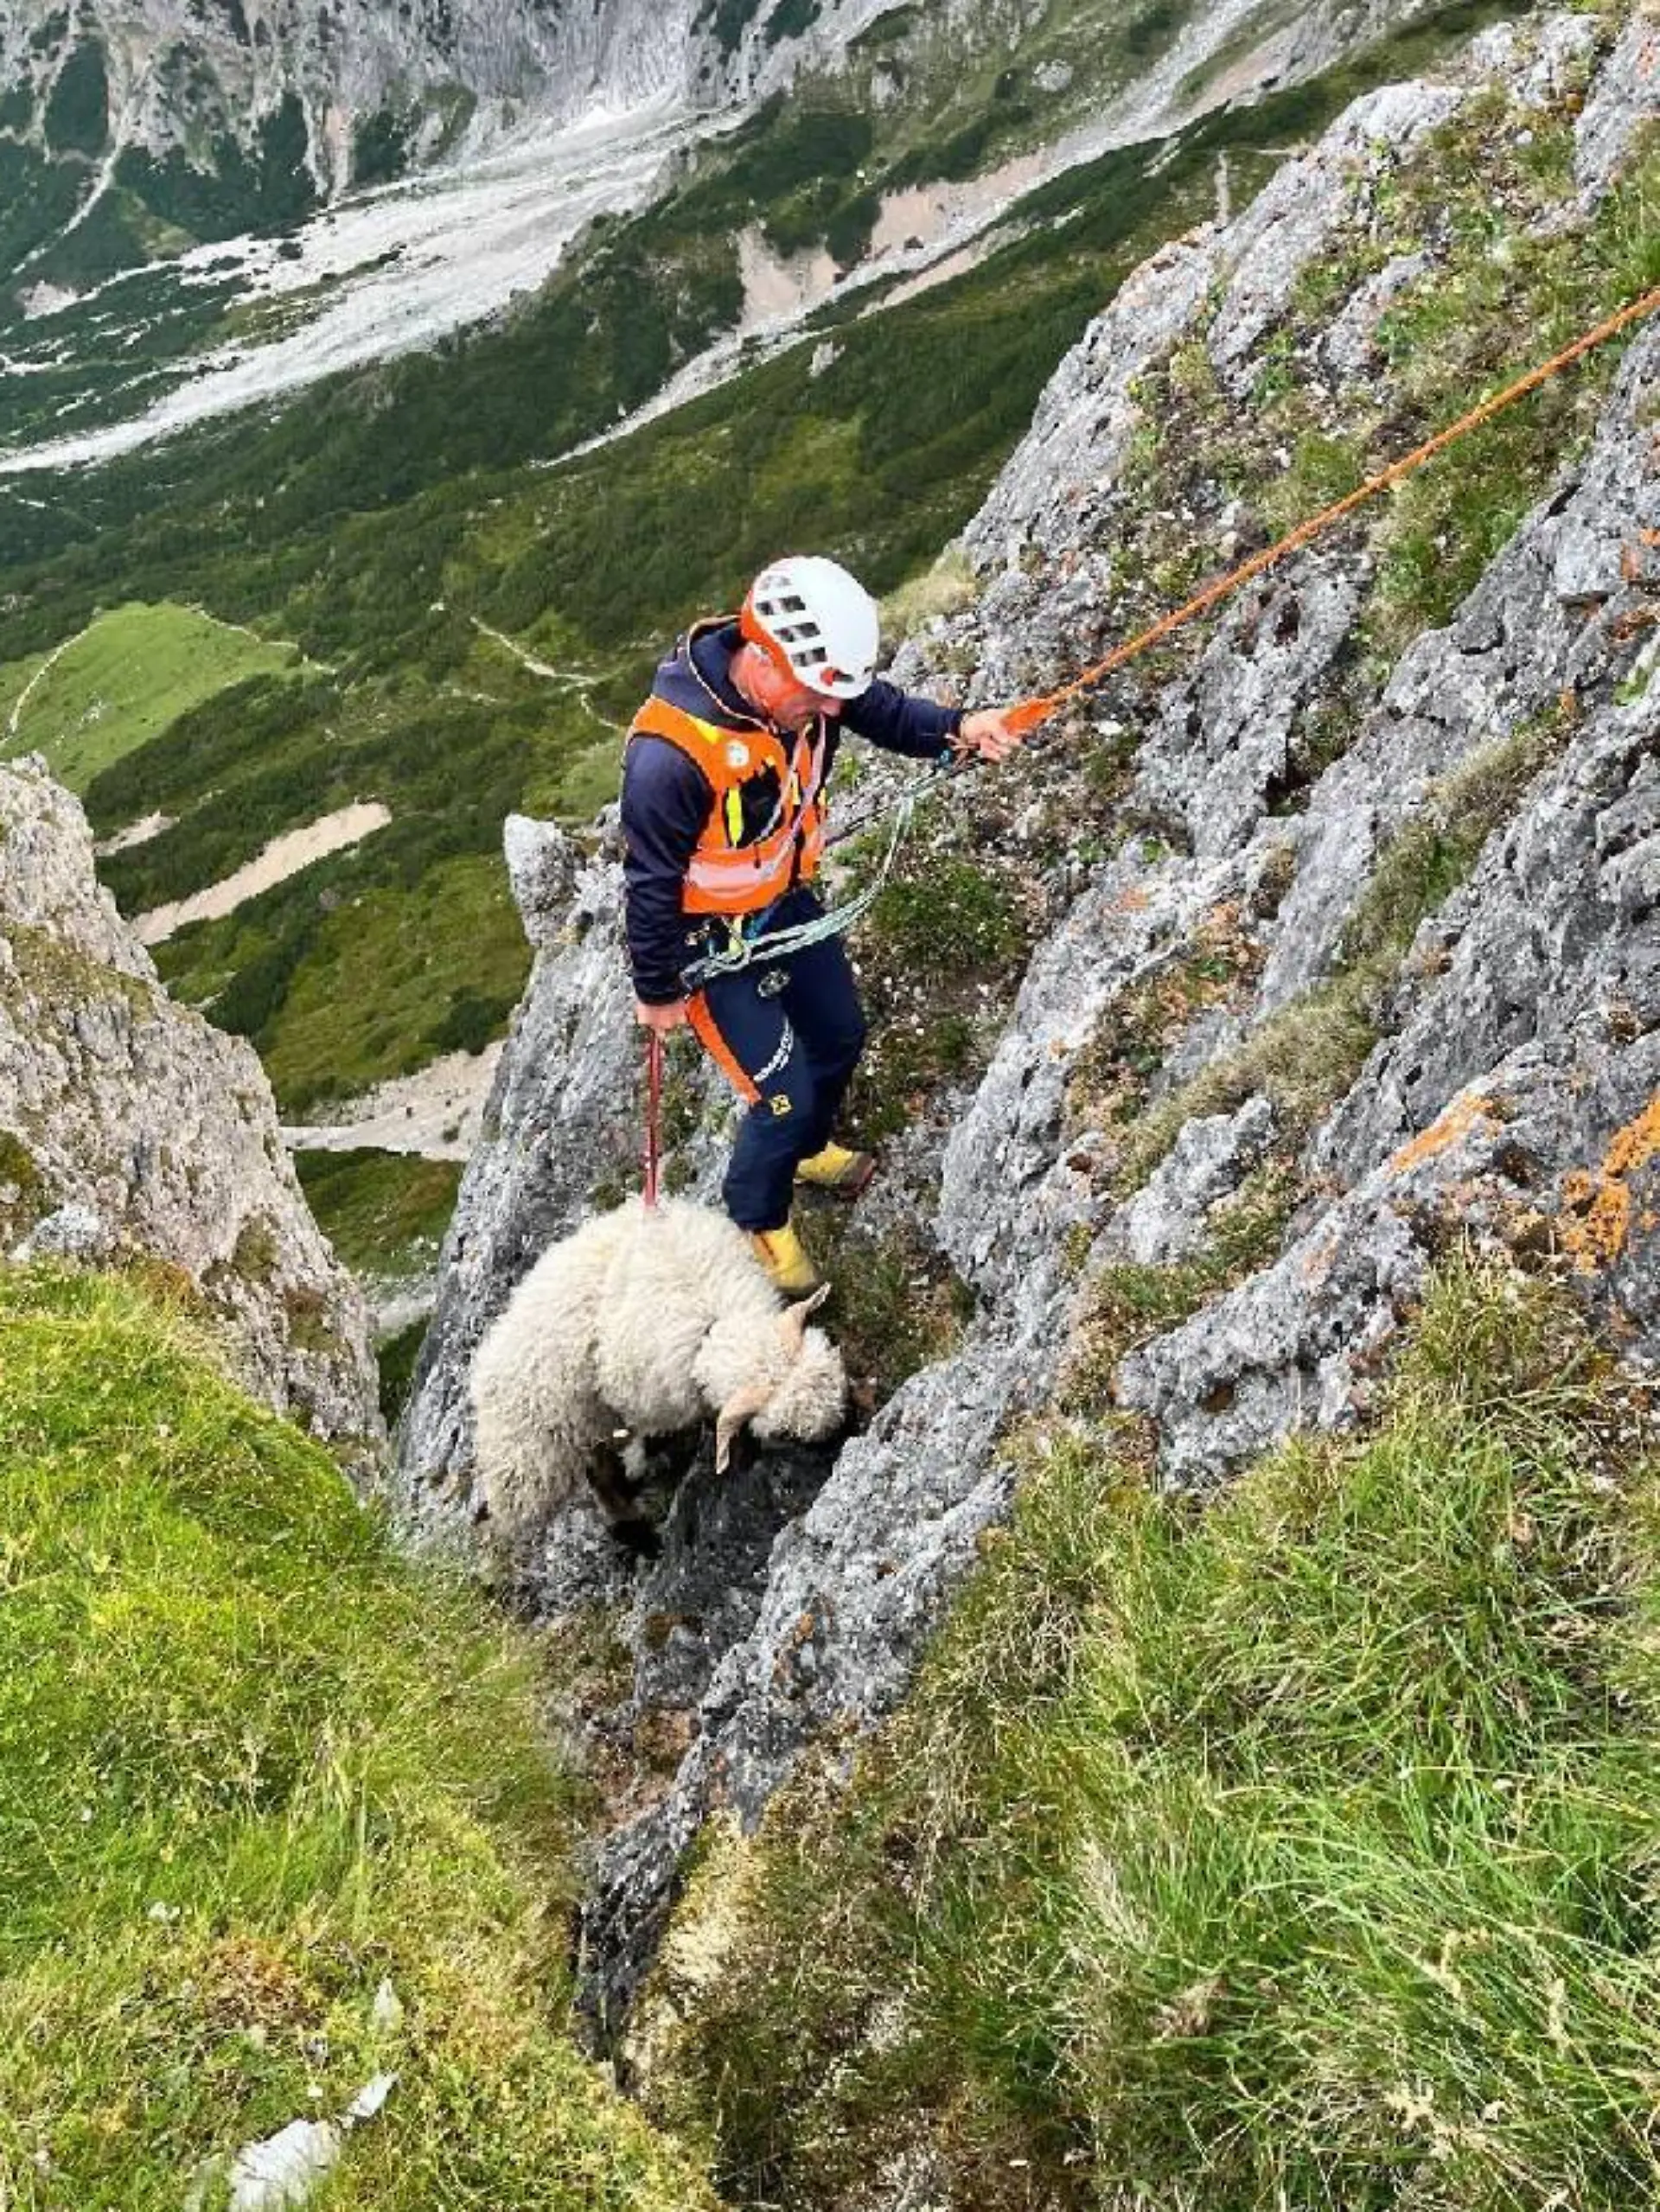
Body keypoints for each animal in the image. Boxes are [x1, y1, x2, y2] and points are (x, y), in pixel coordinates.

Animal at [469, 1196, 848, 1559]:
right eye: (786, 1432)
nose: (841, 1439)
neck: (711, 1320)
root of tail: (488, 1354)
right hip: (551, 1440)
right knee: (596, 1476)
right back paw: (634, 1530)